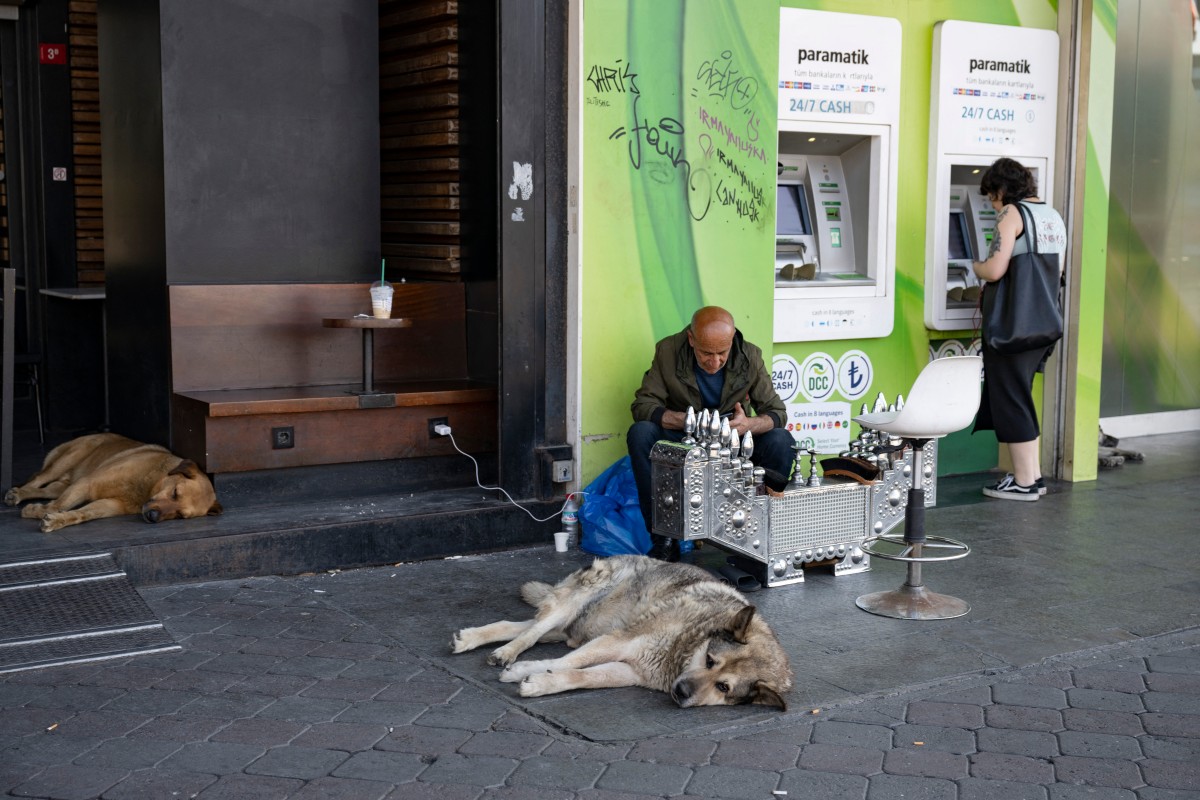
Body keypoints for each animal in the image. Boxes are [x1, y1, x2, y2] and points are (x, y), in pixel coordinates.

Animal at [3, 431, 223, 532]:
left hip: (65, 483)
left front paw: (58, 520)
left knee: (48, 490)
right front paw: (37, 512)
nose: (152, 517)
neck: (147, 486)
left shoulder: (108, 504)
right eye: (175, 492)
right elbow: (58, 505)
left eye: (180, 516)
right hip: (69, 457)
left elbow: (81, 514)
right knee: (38, 479)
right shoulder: (86, 483)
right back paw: (18, 493)